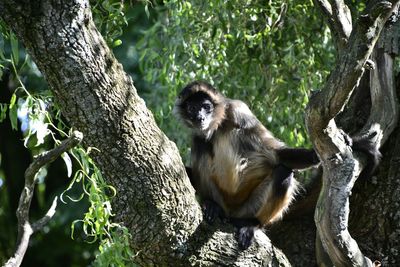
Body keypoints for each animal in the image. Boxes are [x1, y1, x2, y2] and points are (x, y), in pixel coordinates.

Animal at [174, 80, 382, 250]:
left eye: (206, 107)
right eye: (192, 108)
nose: (200, 117)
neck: (217, 125)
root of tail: (232, 210)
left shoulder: (239, 110)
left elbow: (277, 156)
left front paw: (351, 142)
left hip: (248, 207)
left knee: (283, 173)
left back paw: (251, 224)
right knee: (201, 143)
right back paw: (213, 206)